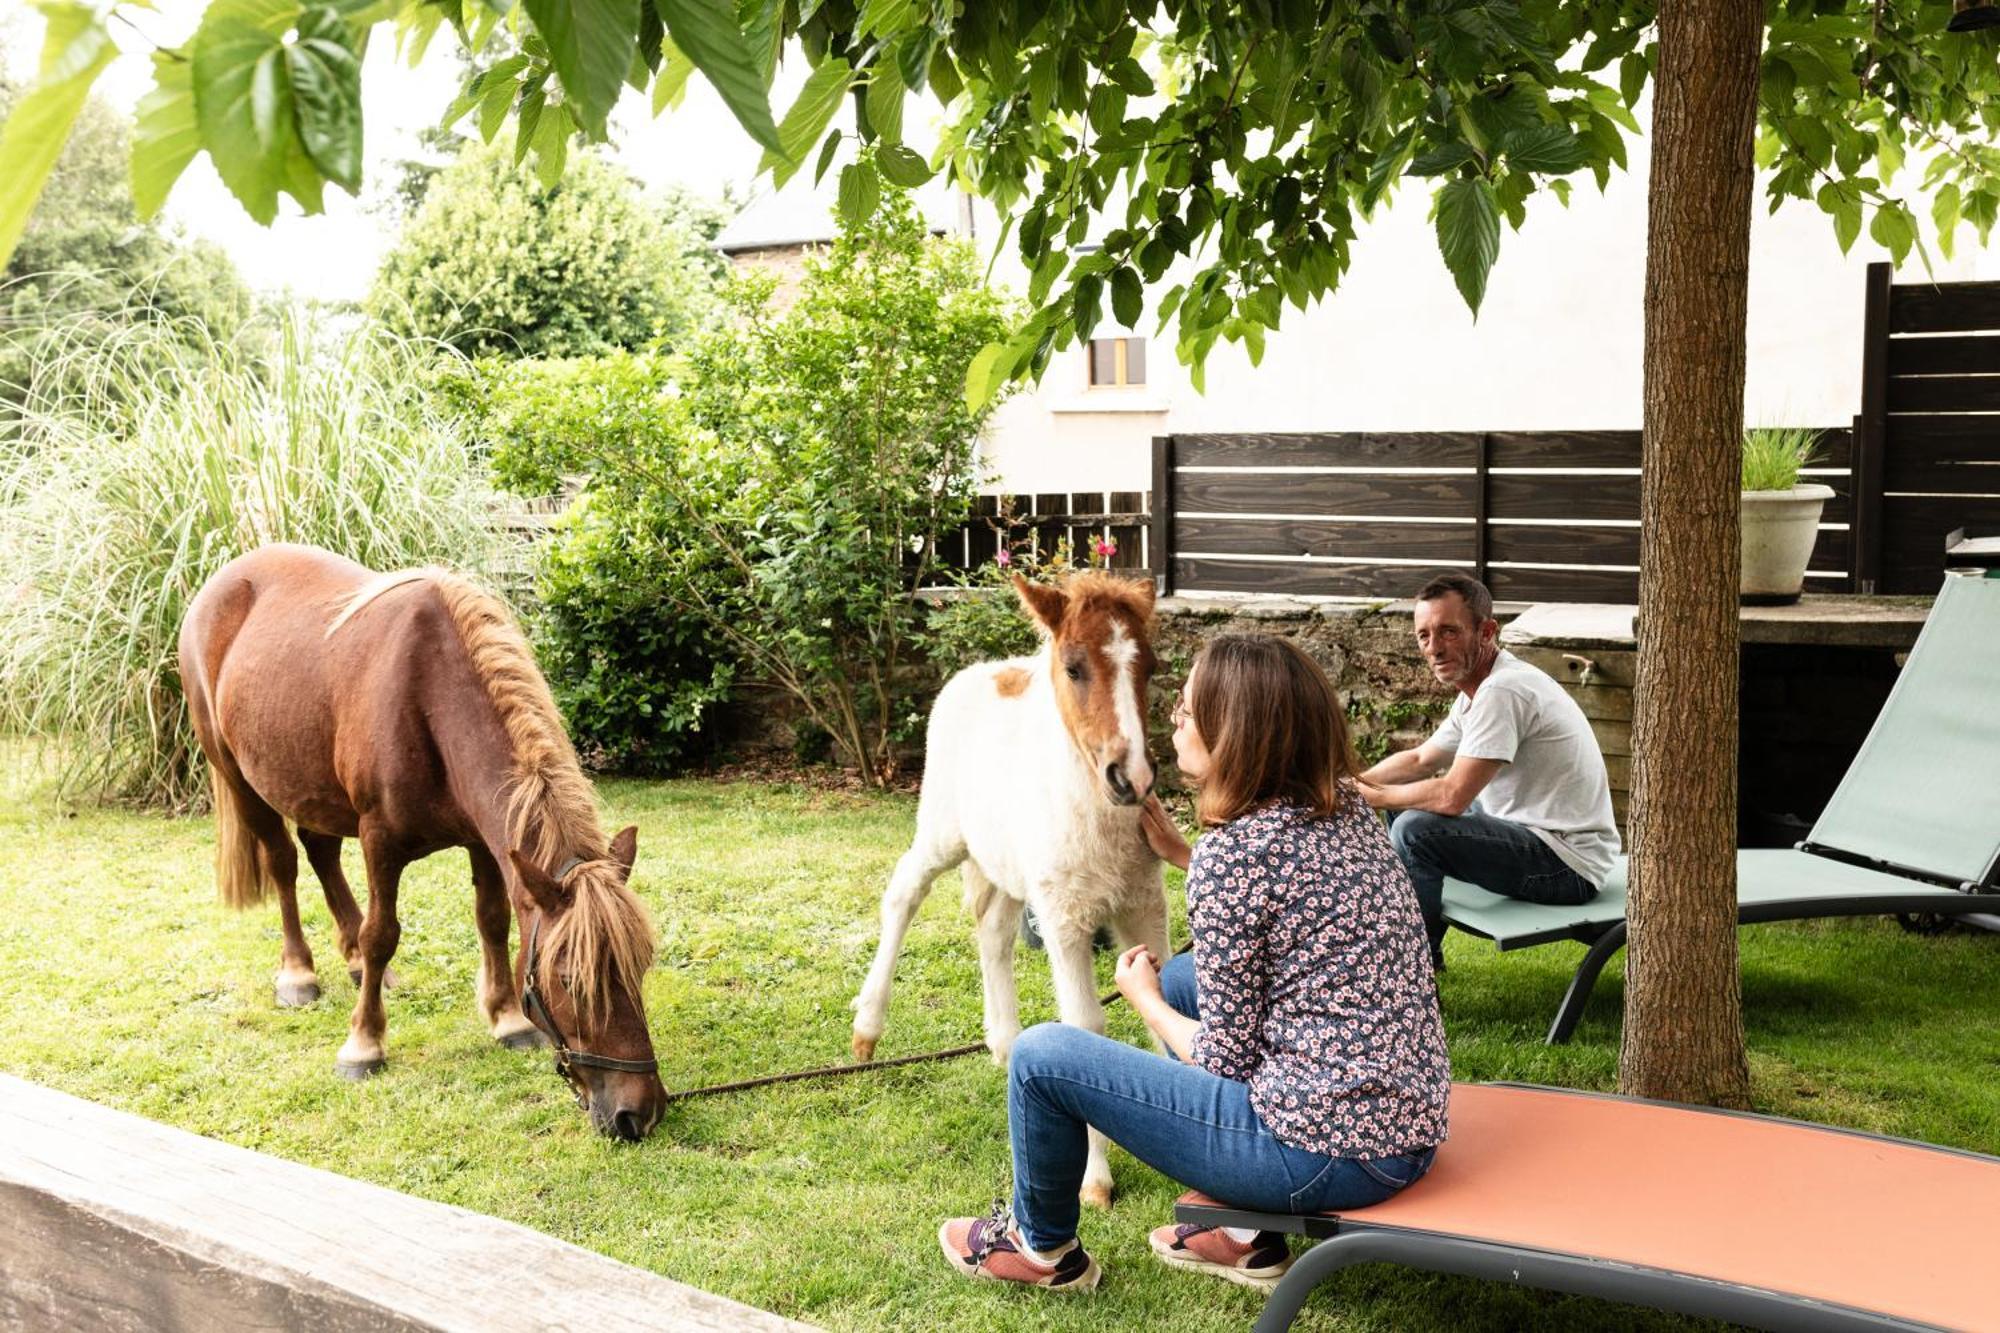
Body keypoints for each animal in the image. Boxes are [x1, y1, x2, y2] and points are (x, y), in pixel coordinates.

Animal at [182, 536, 664, 1136]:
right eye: (572, 980)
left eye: (640, 966)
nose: (638, 1113)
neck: (431, 697)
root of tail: (219, 583)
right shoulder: (380, 841)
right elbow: (382, 933)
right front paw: (364, 1044)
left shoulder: (484, 842)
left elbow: (492, 920)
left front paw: (507, 1019)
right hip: (238, 777)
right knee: (284, 864)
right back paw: (299, 973)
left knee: (321, 854)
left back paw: (353, 965)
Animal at [848, 568, 1168, 1200]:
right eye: (1074, 667)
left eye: (1148, 668)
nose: (1133, 778)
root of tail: (981, 671)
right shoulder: (1066, 917)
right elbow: (1087, 1027)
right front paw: (1095, 1180)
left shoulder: (1145, 906)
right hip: (944, 833)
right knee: (904, 892)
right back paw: (867, 1028)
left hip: (1007, 870)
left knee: (992, 932)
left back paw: (1003, 1041)